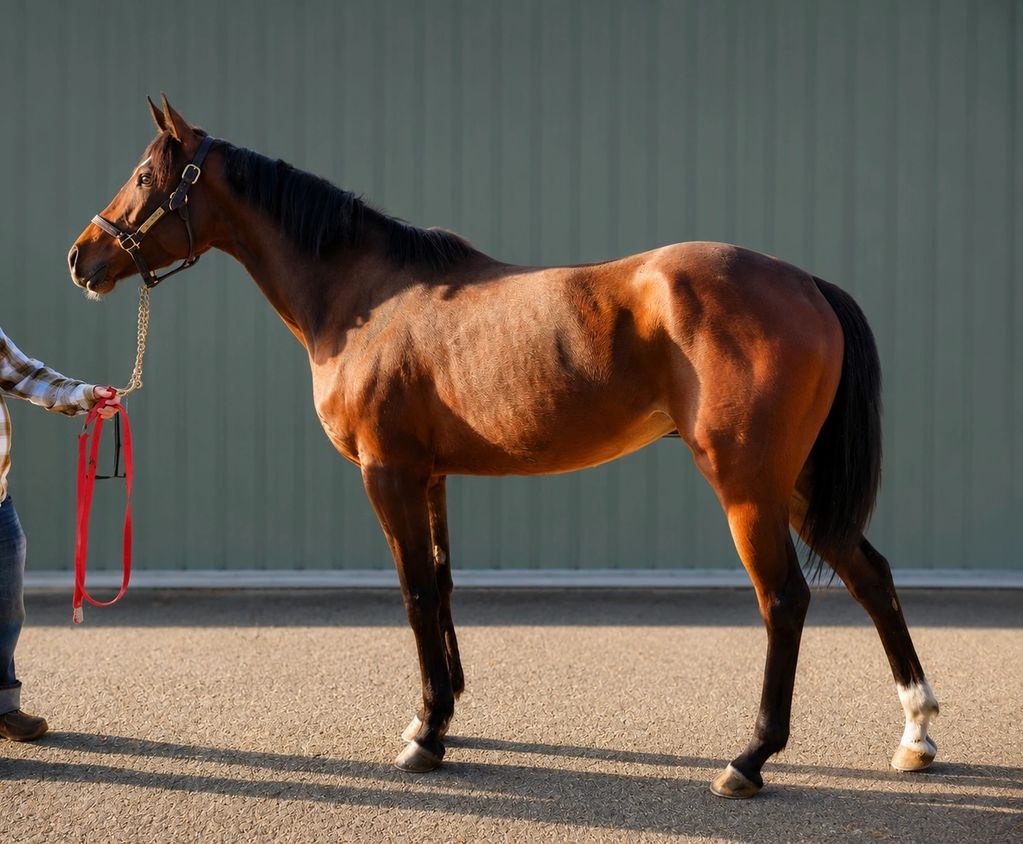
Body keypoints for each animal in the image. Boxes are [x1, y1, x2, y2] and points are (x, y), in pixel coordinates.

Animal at [67, 96, 939, 799]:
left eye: (145, 176)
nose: (83, 257)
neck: (365, 300)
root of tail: (806, 282)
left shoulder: (387, 475)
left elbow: (416, 594)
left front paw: (425, 735)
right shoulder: (430, 477)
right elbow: (444, 587)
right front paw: (442, 715)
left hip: (748, 486)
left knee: (784, 600)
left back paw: (748, 760)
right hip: (793, 484)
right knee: (869, 576)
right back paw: (916, 732)